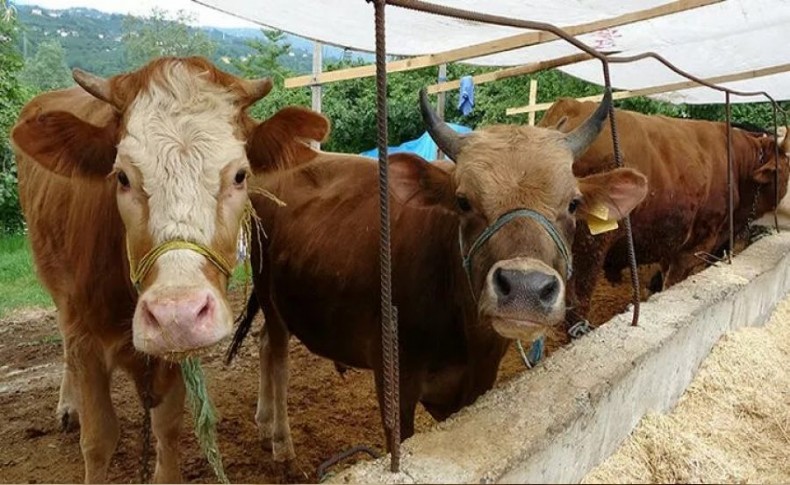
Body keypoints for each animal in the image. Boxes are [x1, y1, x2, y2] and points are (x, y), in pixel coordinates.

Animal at [10, 55, 324, 480]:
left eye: (240, 175)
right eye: (122, 176)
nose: (178, 314)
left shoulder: (176, 352)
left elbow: (167, 427)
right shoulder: (85, 337)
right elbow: (98, 440)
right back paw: (68, 405)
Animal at [229, 88, 648, 462]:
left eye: (573, 204)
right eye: (463, 201)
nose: (525, 289)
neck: (463, 331)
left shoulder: (478, 382)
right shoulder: (394, 380)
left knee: (265, 342)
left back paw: (264, 427)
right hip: (269, 292)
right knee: (277, 354)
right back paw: (282, 446)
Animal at [540, 98, 790, 326]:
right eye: (787, 169)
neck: (738, 166)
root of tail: (570, 106)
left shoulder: (671, 244)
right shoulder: (693, 249)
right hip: (588, 250)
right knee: (576, 308)